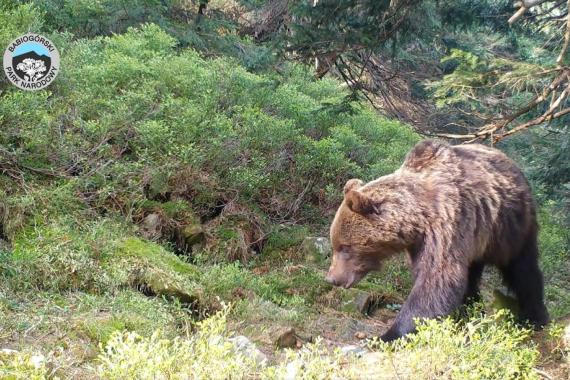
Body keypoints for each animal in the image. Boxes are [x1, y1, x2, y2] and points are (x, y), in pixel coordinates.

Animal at [326, 139, 548, 342]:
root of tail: (511, 162)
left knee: (523, 270)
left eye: (345, 247)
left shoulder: (446, 227)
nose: (332, 278)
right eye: (335, 245)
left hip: (510, 229)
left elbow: (437, 280)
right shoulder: (421, 244)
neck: (417, 221)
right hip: (479, 240)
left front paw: (388, 335)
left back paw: (534, 317)